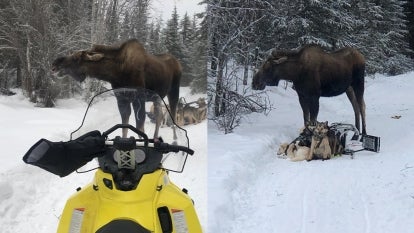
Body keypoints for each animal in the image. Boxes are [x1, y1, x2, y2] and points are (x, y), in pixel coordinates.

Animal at [51, 38, 181, 138]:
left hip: (174, 92)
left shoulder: (138, 99)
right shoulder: (122, 100)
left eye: (76, 58)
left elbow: (139, 128)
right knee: (159, 116)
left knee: (173, 115)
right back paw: (155, 138)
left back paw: (175, 139)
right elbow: (125, 127)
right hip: (157, 97)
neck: (117, 72)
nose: (54, 64)